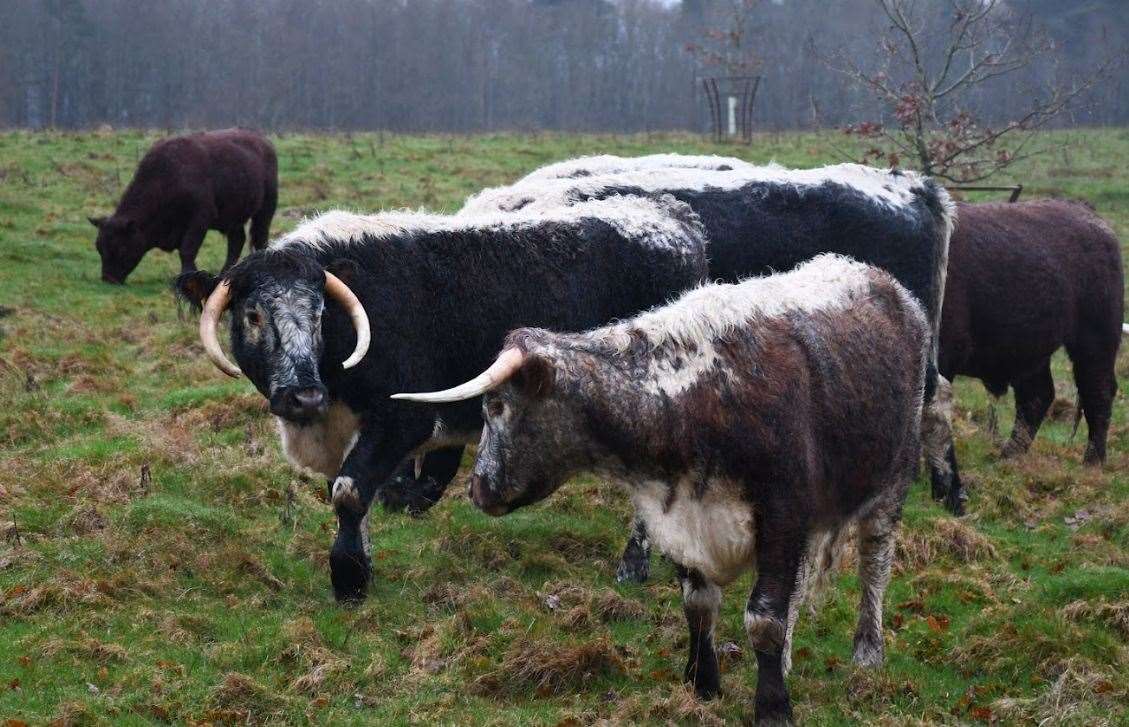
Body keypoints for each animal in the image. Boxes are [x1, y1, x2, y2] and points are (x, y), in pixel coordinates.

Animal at [85, 129, 275, 282]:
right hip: (233, 218)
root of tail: (263, 142)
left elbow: (187, 249)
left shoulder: (200, 218)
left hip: (265, 210)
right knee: (237, 240)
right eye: (99, 247)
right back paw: (224, 273)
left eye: (122, 247)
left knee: (260, 237)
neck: (168, 177)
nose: (108, 278)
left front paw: (187, 274)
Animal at [925, 199, 1119, 487]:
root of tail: (1089, 215)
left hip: (1094, 343)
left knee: (1097, 391)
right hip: (1029, 352)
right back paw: (1008, 456)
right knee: (1037, 396)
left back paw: (1092, 463)